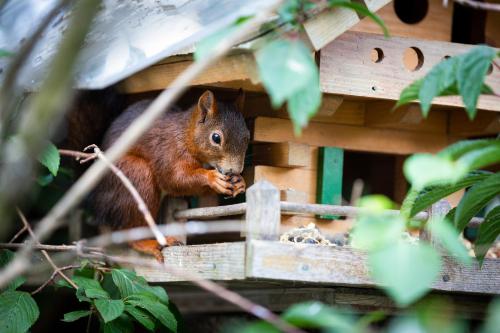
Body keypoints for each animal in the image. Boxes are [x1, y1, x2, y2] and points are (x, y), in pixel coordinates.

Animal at [91, 90, 249, 260]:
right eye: (216, 138)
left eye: (247, 137)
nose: (234, 171)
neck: (186, 135)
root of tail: (97, 207)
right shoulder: (169, 151)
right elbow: (175, 179)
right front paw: (212, 178)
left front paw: (240, 182)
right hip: (134, 176)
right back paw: (149, 243)